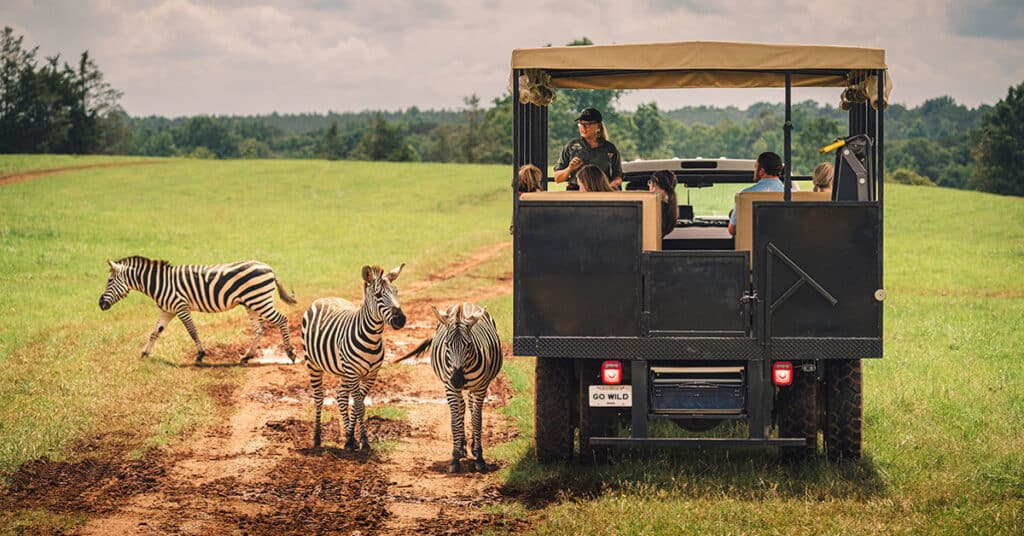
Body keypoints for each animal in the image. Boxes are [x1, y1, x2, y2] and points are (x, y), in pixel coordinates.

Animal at [98, 256, 297, 364]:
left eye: (109, 281)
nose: (100, 304)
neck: (160, 283)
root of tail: (269, 268)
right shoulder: (167, 310)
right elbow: (155, 332)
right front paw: (144, 353)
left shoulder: (180, 306)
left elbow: (192, 330)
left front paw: (200, 354)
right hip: (252, 303)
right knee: (259, 329)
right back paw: (247, 356)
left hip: (260, 300)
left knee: (282, 319)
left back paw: (290, 353)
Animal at [301, 264, 406, 451]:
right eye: (378, 295)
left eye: (396, 291)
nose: (401, 320)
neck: (372, 340)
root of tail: (325, 297)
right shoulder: (353, 373)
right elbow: (359, 406)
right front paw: (364, 441)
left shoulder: (371, 375)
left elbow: (359, 405)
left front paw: (351, 439)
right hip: (314, 365)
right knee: (319, 397)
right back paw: (317, 438)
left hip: (344, 372)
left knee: (341, 397)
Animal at [398, 302, 503, 473]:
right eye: (447, 344)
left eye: (469, 345)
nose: (457, 380)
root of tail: (466, 304)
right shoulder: (450, 388)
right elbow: (455, 421)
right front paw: (454, 458)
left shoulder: (480, 387)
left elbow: (477, 420)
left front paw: (479, 458)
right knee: (461, 407)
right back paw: (461, 447)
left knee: (470, 407)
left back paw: (471, 446)